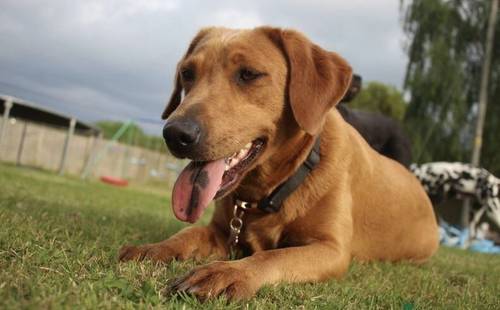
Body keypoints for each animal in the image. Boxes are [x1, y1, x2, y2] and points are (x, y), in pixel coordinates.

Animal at [118, 26, 438, 300]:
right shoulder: (222, 232)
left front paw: (227, 272)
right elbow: (188, 232)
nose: (175, 134)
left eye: (249, 74)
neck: (270, 191)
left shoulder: (331, 248)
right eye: (187, 73)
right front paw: (155, 248)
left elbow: (273, 255)